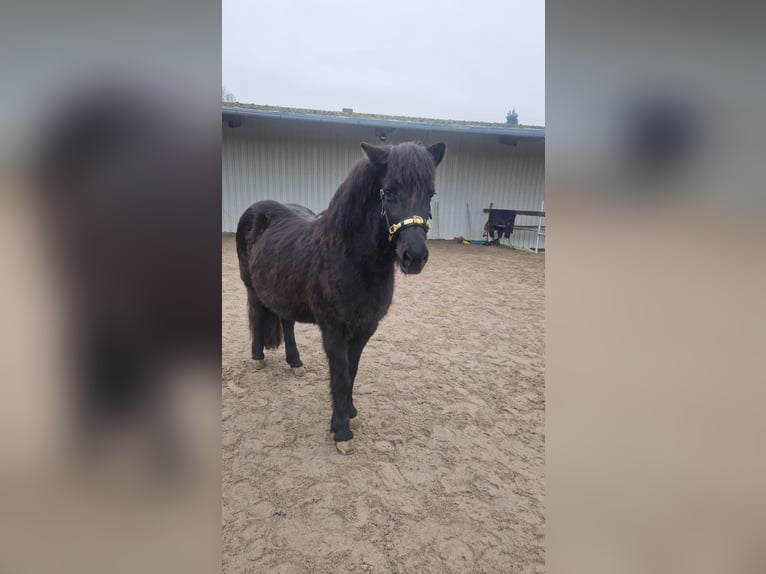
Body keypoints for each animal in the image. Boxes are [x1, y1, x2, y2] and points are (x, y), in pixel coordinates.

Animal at [236, 141, 446, 454]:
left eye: (430, 194)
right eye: (388, 191)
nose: (415, 257)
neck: (350, 259)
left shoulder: (365, 328)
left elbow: (352, 371)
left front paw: (350, 413)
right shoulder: (334, 329)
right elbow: (340, 373)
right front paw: (342, 431)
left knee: (286, 322)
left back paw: (295, 362)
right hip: (251, 287)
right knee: (255, 312)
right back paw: (257, 357)